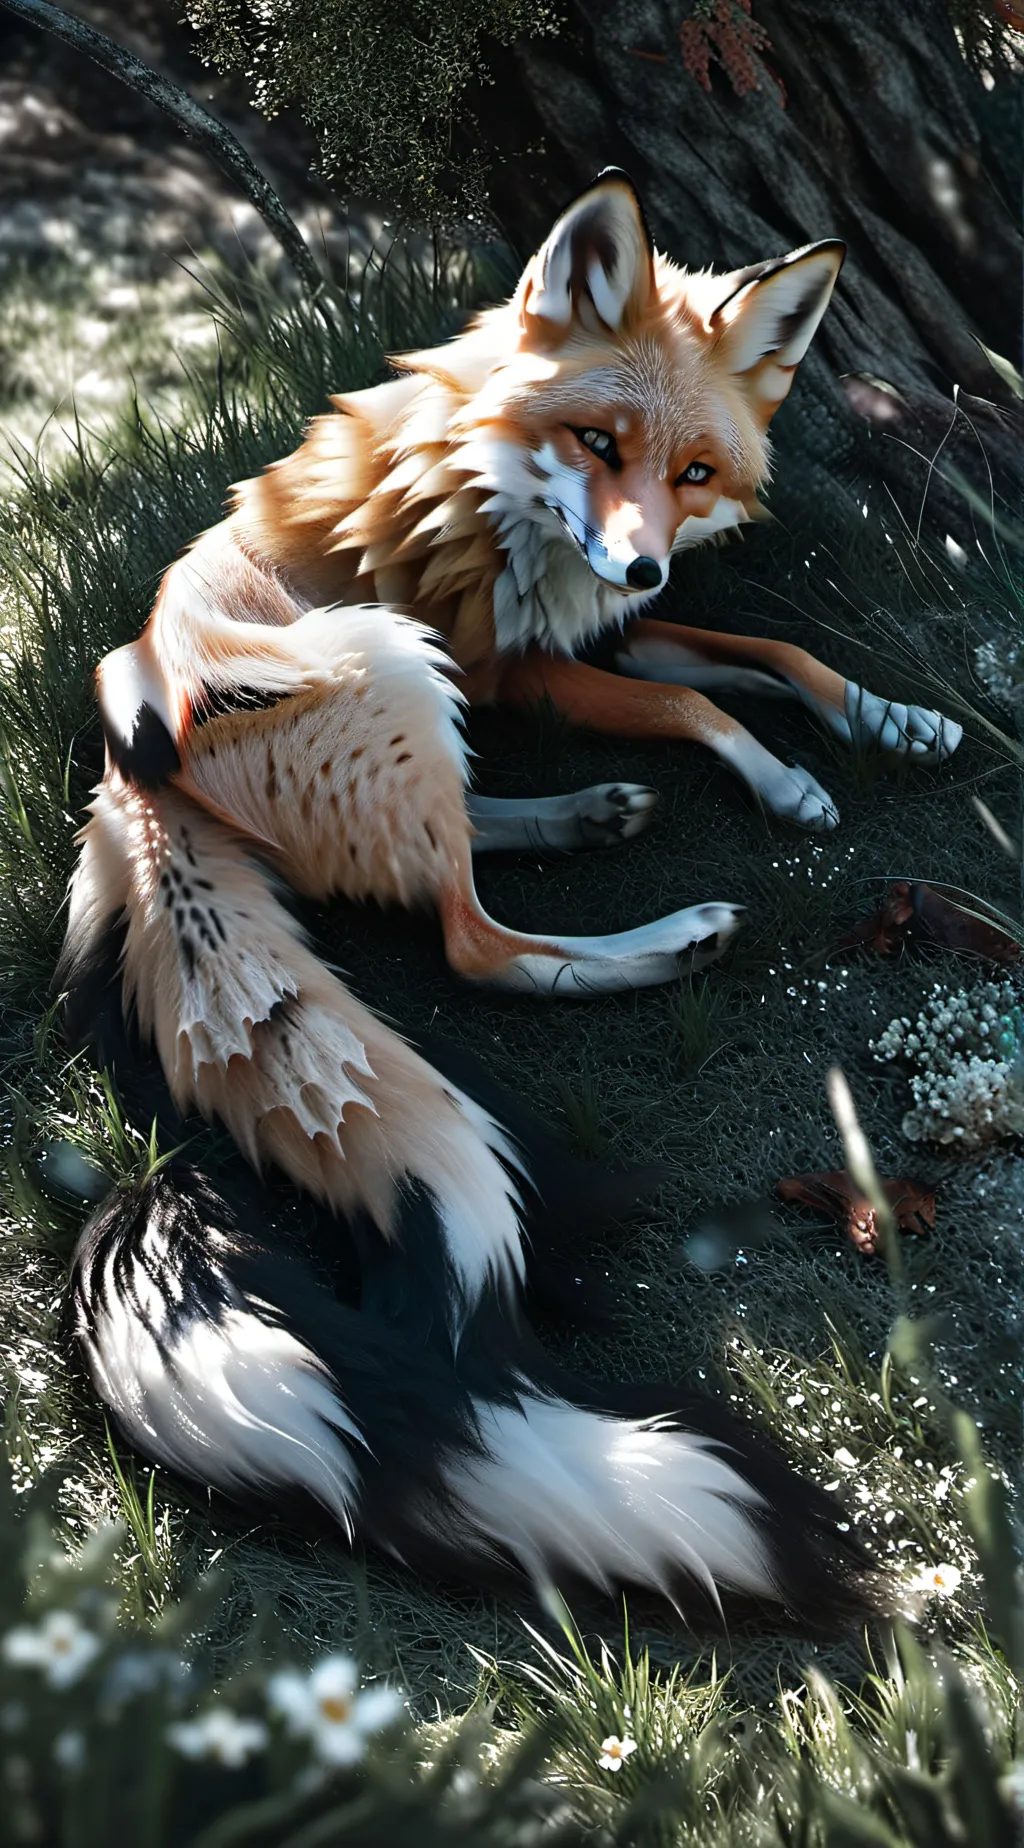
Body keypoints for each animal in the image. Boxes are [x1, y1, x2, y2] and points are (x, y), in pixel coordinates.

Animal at [56, 168, 958, 1626]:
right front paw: (785, 783)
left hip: (420, 705)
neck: (503, 498)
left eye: (692, 473)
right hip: (395, 662)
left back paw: (585, 815)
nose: (643, 564)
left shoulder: (600, 631)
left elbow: (774, 652)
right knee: (470, 941)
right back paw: (671, 936)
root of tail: (131, 781)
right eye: (597, 442)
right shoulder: (525, 665)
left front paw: (891, 722)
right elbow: (707, 705)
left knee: (457, 853)